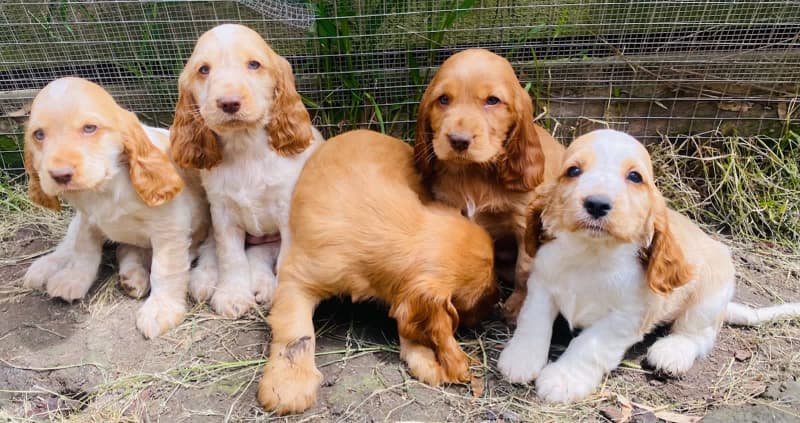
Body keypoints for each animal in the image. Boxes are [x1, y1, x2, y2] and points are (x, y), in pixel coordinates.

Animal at [170, 23, 324, 318]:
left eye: (254, 64)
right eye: (203, 70)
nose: (229, 103)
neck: (245, 149)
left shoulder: (286, 211)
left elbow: (284, 257)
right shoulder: (222, 212)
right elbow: (231, 257)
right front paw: (232, 295)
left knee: (261, 254)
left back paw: (264, 286)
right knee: (216, 249)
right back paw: (205, 279)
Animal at [256, 131, 496, 416]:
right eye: (481, 297)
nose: (498, 300)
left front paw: (424, 357)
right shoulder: (296, 277)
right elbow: (297, 332)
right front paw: (289, 384)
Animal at [416, 48, 564, 322]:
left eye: (492, 100)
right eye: (443, 99)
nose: (459, 140)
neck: (474, 173)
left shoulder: (523, 223)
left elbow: (524, 269)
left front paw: (517, 306)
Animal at [496, 129, 800, 404]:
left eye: (634, 177)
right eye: (573, 170)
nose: (597, 204)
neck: (591, 253)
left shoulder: (626, 317)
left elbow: (589, 345)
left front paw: (563, 379)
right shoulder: (541, 286)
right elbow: (533, 322)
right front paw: (520, 359)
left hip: (710, 296)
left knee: (698, 334)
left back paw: (671, 352)